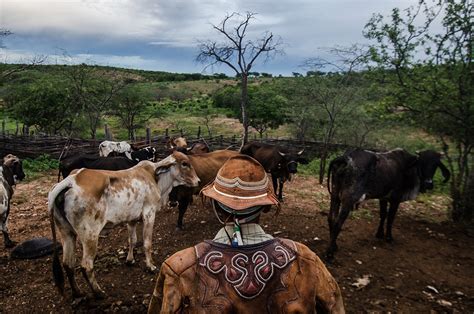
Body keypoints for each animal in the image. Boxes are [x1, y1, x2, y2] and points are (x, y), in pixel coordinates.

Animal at [49, 152, 200, 300]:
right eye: (184, 164)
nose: (198, 181)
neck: (156, 178)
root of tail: (71, 181)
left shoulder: (131, 219)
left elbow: (132, 240)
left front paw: (130, 260)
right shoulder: (149, 213)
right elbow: (147, 243)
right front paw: (150, 266)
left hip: (66, 233)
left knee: (68, 264)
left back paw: (77, 292)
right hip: (90, 235)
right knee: (86, 266)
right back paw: (99, 293)